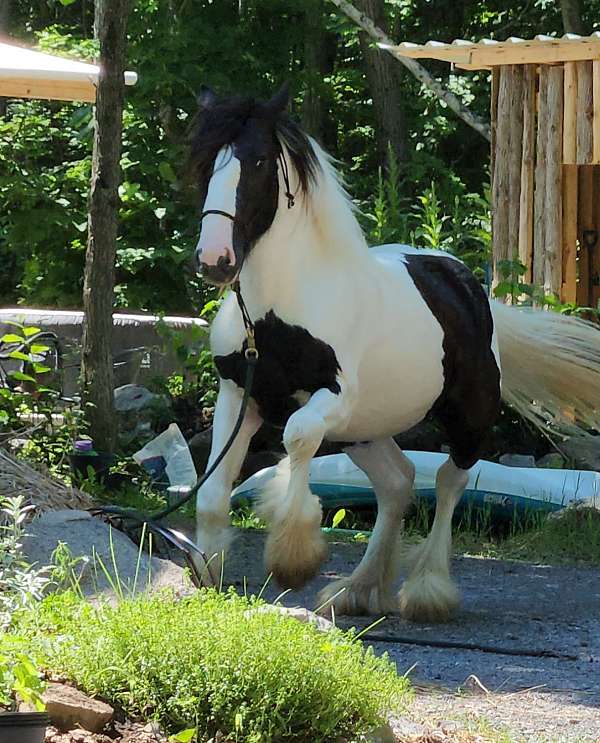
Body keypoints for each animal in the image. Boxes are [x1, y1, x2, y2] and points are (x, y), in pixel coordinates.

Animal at [190, 84, 600, 622]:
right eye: (202, 161)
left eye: (257, 160)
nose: (215, 260)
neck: (277, 312)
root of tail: (469, 288)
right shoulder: (240, 395)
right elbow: (213, 489)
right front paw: (209, 574)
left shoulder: (332, 397)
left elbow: (296, 437)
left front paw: (293, 558)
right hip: (363, 430)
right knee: (398, 481)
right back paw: (359, 589)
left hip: (466, 418)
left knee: (448, 481)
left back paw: (426, 591)